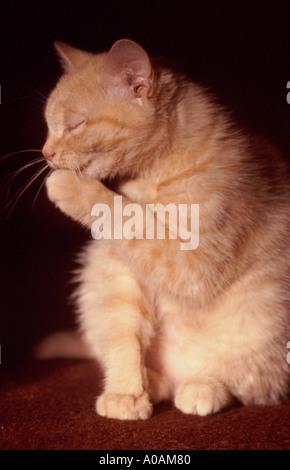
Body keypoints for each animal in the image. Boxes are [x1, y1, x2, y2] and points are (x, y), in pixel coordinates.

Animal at [41, 37, 290, 418]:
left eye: (74, 125)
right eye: (49, 125)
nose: (46, 153)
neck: (150, 177)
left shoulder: (194, 263)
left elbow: (131, 218)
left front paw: (72, 187)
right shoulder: (118, 270)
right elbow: (123, 335)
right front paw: (126, 393)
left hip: (264, 317)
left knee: (249, 382)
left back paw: (204, 386)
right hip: (93, 278)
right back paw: (154, 382)